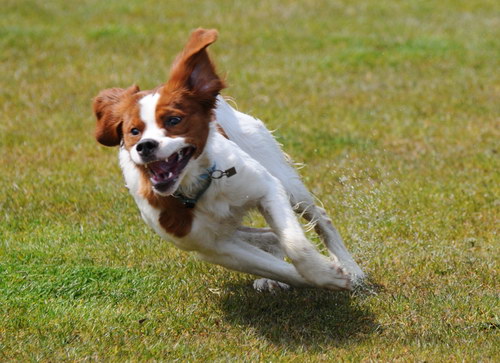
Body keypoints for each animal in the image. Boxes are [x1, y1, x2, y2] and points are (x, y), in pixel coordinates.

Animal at [94, 28, 366, 292]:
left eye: (173, 120)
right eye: (133, 131)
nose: (145, 146)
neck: (198, 188)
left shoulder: (267, 187)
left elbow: (295, 243)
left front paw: (332, 273)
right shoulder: (213, 247)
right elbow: (278, 265)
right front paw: (324, 276)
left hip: (283, 179)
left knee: (319, 217)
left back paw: (352, 268)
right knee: (268, 236)